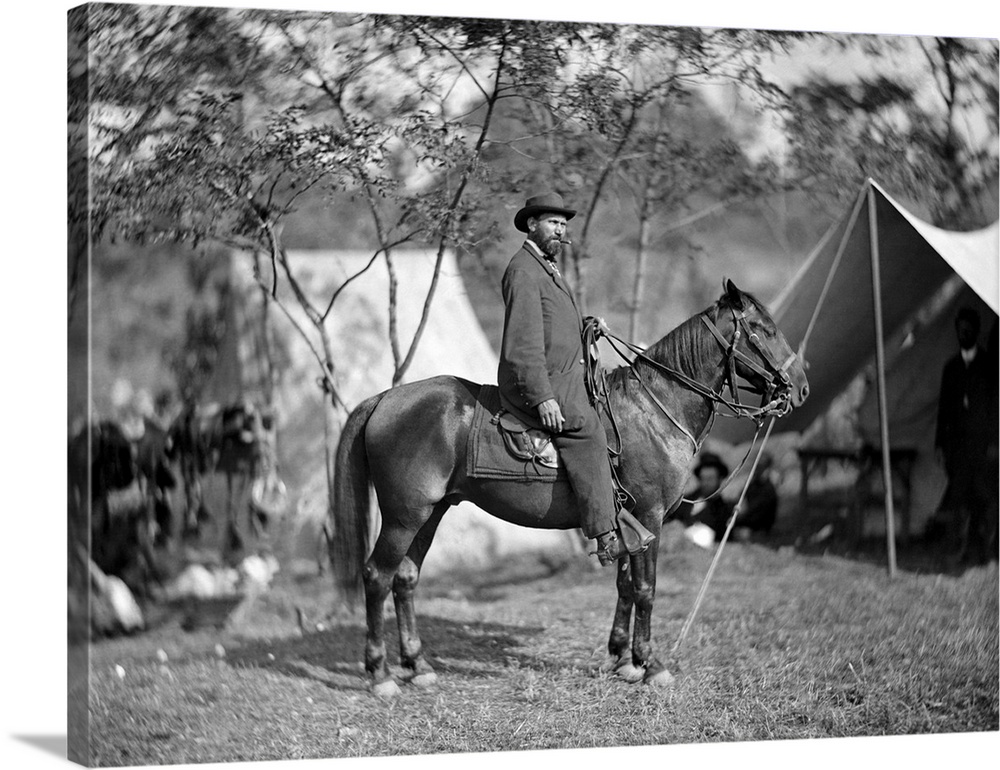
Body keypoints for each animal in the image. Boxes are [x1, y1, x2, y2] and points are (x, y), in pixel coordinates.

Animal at [332, 280, 808, 696]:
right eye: (764, 329)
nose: (801, 387)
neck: (654, 408)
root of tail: (385, 399)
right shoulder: (649, 517)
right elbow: (646, 589)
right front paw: (650, 664)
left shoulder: (629, 524)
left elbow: (625, 586)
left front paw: (622, 659)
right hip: (403, 516)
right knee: (377, 577)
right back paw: (380, 673)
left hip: (430, 513)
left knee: (405, 579)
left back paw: (418, 665)